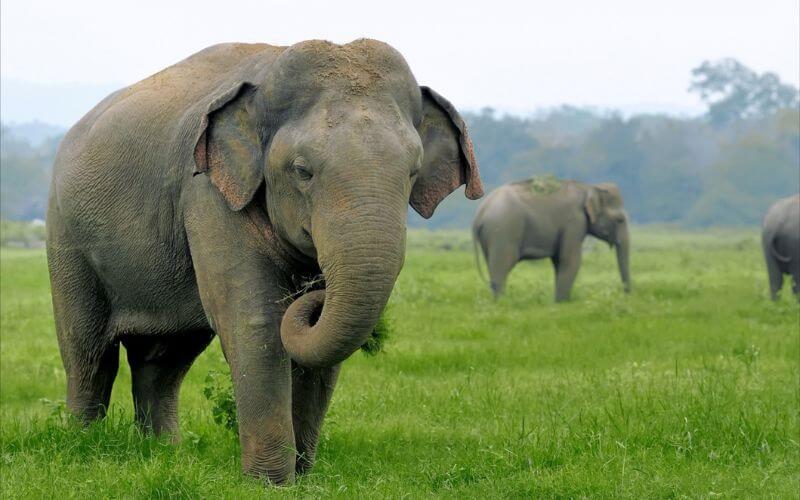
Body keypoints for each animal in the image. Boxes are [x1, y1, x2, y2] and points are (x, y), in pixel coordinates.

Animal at [47, 41, 482, 486]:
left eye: (413, 172)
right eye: (302, 171)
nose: (315, 289)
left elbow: (315, 352)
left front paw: (302, 479)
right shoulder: (207, 195)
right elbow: (253, 323)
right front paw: (270, 483)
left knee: (163, 360)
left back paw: (163, 452)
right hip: (66, 236)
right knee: (89, 353)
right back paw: (83, 444)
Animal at [468, 179, 632, 300]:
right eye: (620, 220)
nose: (626, 295)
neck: (589, 188)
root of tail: (479, 214)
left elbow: (558, 261)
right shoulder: (574, 222)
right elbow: (570, 260)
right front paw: (562, 303)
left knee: (492, 267)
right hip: (503, 232)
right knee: (502, 267)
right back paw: (502, 302)